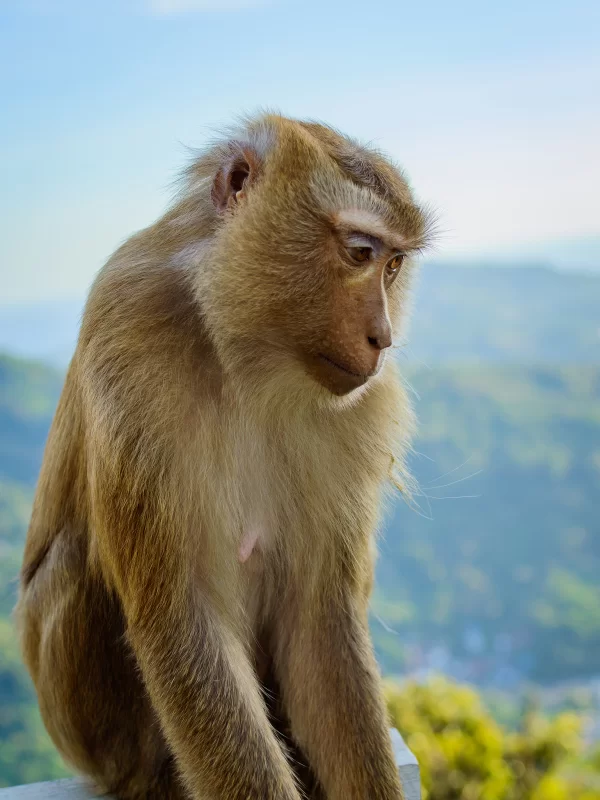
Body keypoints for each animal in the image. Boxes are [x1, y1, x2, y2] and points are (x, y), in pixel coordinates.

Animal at [16, 113, 433, 800]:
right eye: (359, 253)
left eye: (395, 264)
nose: (384, 337)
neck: (243, 350)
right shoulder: (129, 328)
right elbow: (181, 621)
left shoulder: (362, 405)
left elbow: (321, 626)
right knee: (77, 558)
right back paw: (151, 776)